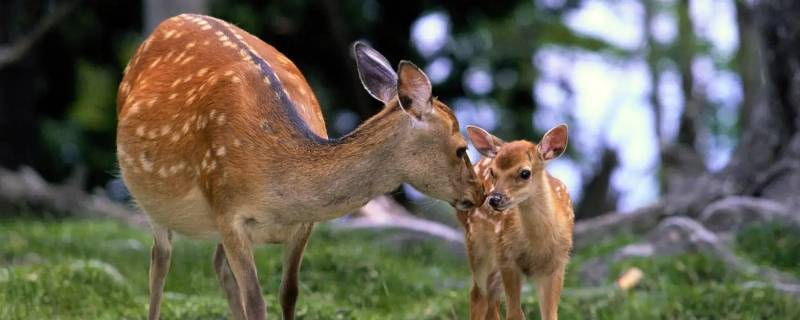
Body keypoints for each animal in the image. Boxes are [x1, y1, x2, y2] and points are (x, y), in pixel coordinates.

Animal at [116, 14, 482, 320]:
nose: (480, 193)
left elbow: (288, 293)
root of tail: (168, 22)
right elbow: (256, 301)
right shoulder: (227, 210)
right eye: (461, 148)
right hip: (152, 199)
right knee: (159, 262)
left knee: (217, 265)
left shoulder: (303, 224)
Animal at [460, 125, 572, 320]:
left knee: (492, 299)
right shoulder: (508, 259)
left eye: (525, 173)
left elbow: (550, 315)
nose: (494, 199)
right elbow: (514, 314)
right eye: (493, 172)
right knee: (478, 294)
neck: (537, 246)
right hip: (477, 247)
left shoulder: (557, 264)